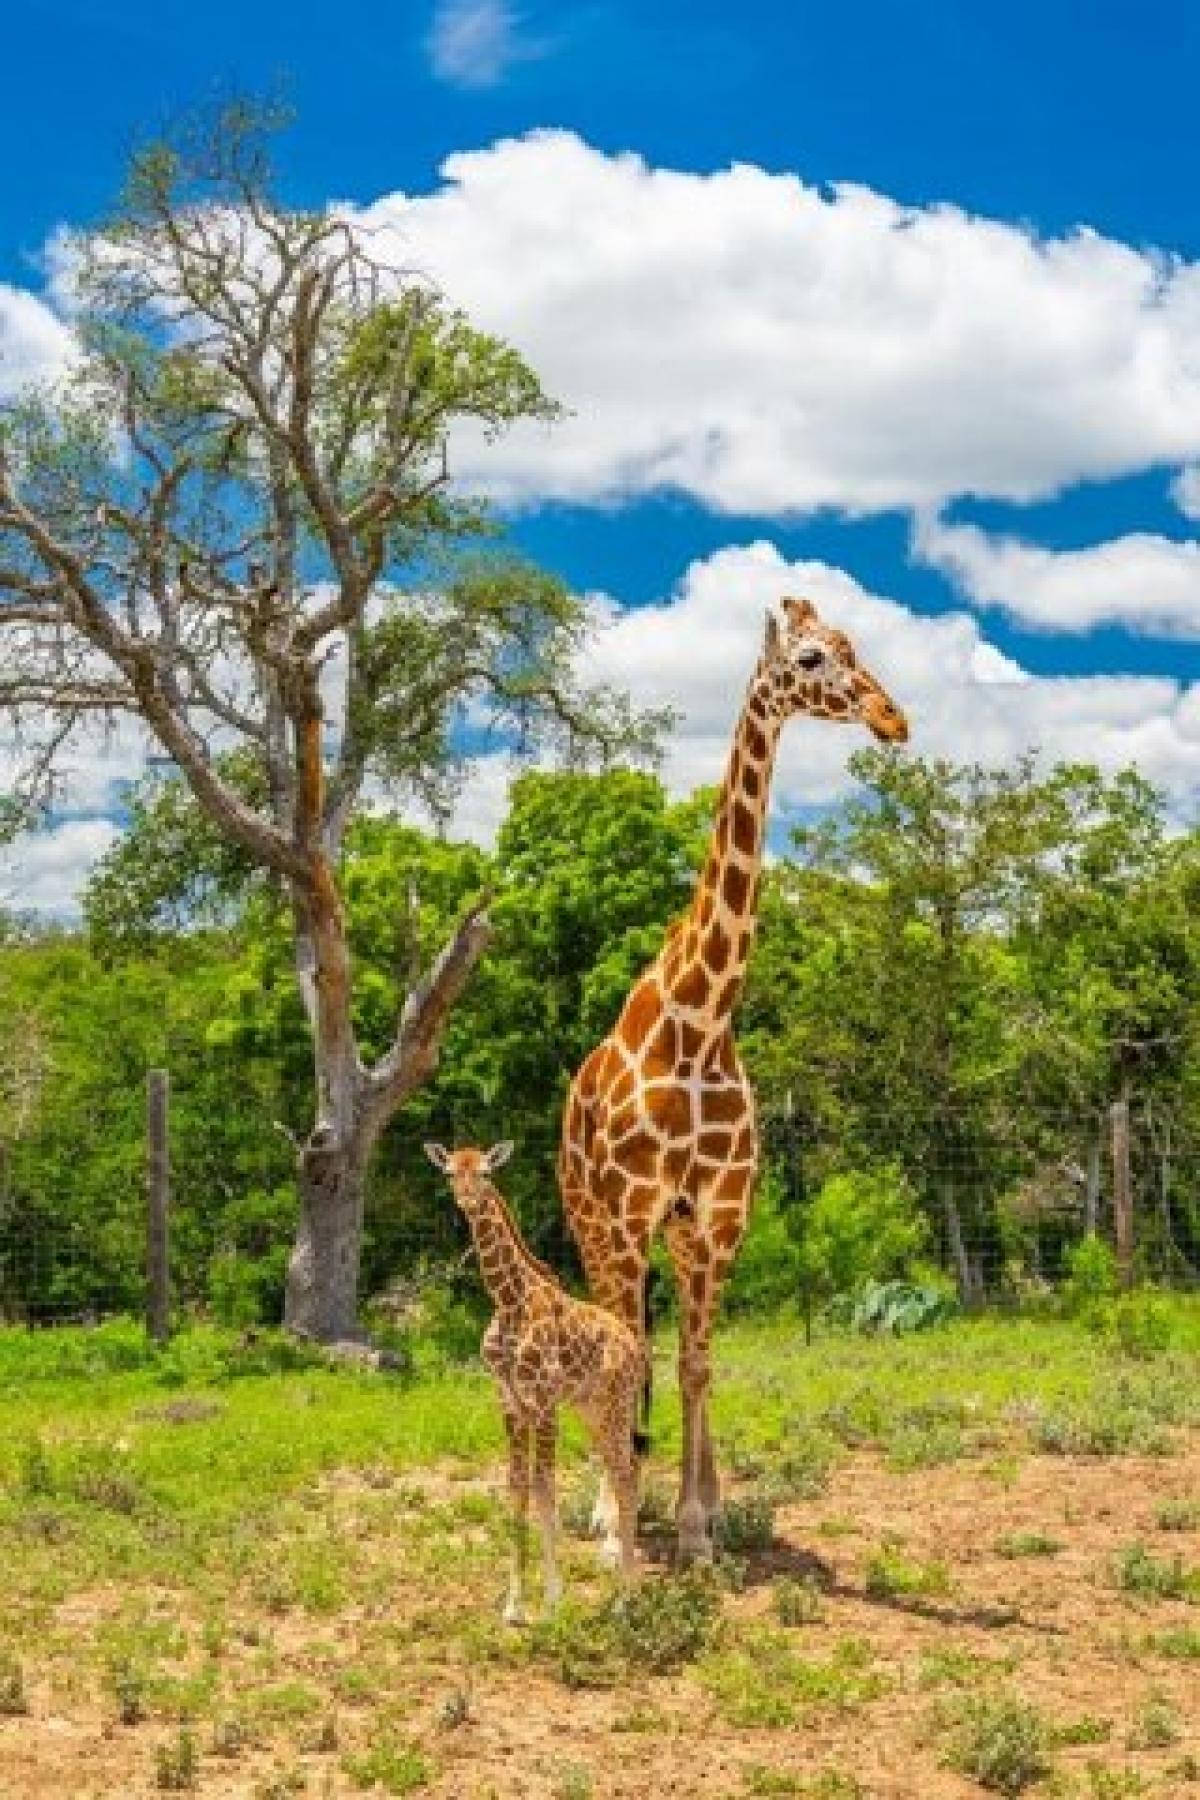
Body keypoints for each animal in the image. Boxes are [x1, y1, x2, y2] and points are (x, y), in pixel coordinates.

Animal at [424, 1144, 644, 1627]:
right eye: (449, 1172)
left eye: (486, 1172)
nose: (467, 1202)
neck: (509, 1302)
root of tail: (635, 1347)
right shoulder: (510, 1404)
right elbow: (518, 1488)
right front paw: (513, 1605)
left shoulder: (543, 1403)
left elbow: (545, 1489)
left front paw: (554, 1601)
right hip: (591, 1409)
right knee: (628, 1466)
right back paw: (624, 1587)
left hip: (616, 1405)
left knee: (625, 1472)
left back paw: (625, 1599)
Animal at [557, 597, 906, 1555]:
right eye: (813, 657)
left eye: (857, 645)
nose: (892, 718)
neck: (703, 1018)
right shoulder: (630, 1213)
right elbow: (634, 1353)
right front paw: (621, 1528)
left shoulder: (714, 1217)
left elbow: (697, 1364)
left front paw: (697, 1526)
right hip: (591, 1221)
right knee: (611, 1336)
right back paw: (602, 1504)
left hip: (676, 1237)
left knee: (670, 1348)